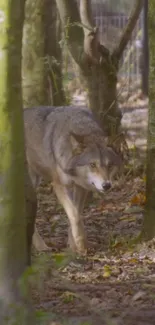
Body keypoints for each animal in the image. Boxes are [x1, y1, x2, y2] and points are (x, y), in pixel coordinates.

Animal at [23, 105, 123, 253]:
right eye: (92, 165)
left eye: (109, 165)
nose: (106, 185)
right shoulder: (59, 185)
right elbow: (75, 216)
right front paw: (81, 246)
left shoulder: (80, 187)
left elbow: (76, 214)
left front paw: (73, 245)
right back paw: (41, 247)